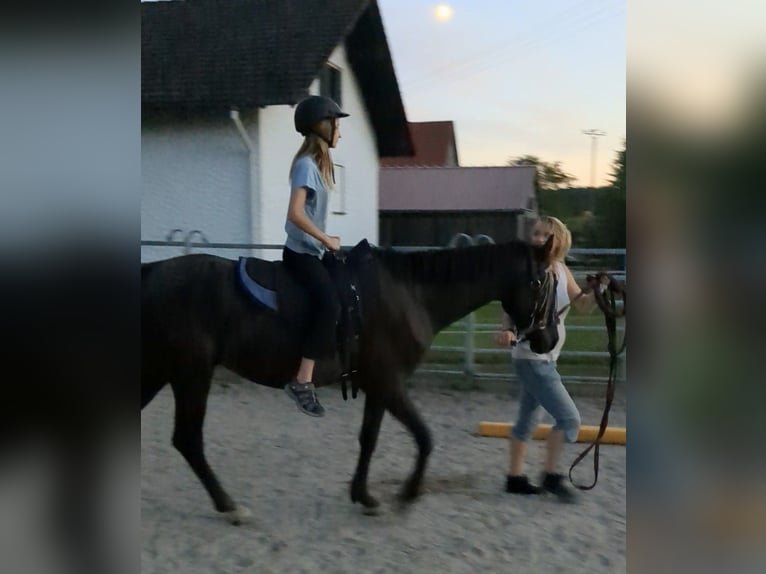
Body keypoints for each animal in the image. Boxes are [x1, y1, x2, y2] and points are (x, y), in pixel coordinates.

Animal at [141, 241, 556, 524]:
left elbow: (369, 438)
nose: (548, 340)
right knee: (189, 440)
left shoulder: (377, 385)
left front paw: (364, 496)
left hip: (164, 370)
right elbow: (424, 437)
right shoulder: (390, 383)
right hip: (191, 373)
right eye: (541, 281)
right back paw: (230, 507)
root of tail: (152, 271)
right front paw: (407, 494)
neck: (409, 294)